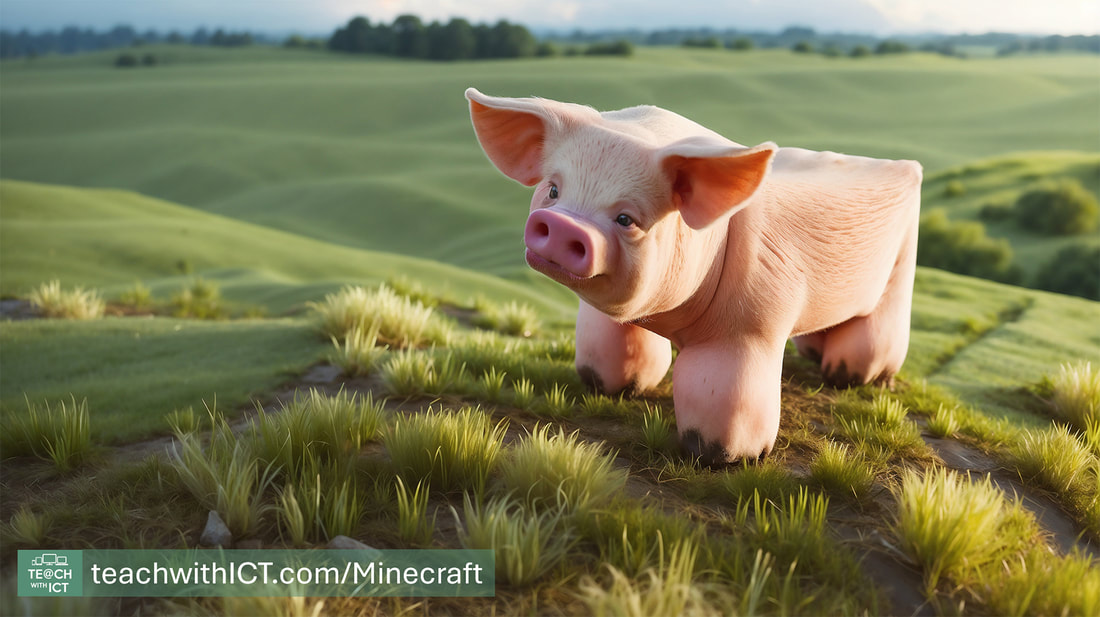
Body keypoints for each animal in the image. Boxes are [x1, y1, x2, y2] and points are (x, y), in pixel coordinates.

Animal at [465, 88, 921, 465]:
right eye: (554, 190)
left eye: (627, 218)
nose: (563, 224)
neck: (670, 320)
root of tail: (907, 166)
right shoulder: (615, 320)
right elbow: (612, 354)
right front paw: (615, 387)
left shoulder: (749, 327)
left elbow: (719, 397)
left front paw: (721, 457)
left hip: (902, 266)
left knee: (876, 332)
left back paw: (850, 376)